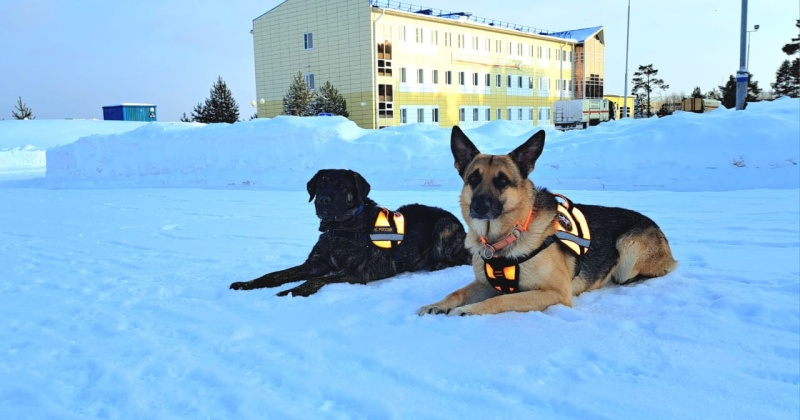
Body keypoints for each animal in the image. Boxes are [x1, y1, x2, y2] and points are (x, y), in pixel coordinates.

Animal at [228, 169, 472, 296]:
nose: (322, 200)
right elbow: (275, 274)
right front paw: (247, 284)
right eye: (321, 184)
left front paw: (293, 291)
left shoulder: (359, 271)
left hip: (443, 227)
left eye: (342, 187)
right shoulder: (315, 264)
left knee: (461, 259)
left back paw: (438, 264)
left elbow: (319, 280)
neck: (339, 229)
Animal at [418, 128, 676, 316]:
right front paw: (438, 304)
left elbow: (504, 300)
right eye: (473, 179)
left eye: (502, 181)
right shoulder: (482, 283)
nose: (479, 208)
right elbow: (456, 293)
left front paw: (470, 310)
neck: (506, 237)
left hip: (628, 247)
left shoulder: (556, 293)